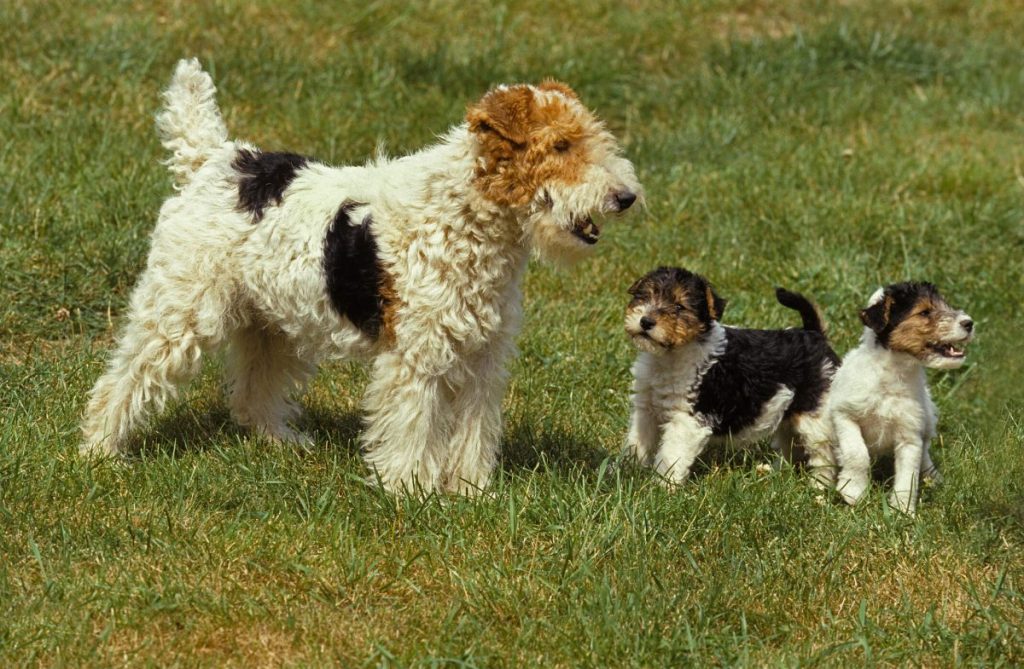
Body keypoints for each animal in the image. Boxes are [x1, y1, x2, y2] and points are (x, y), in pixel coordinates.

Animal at [79, 57, 638, 493]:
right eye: (561, 146)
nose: (626, 197)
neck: (465, 213)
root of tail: (217, 160)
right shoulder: (418, 357)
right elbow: (413, 428)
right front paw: (411, 490)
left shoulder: (483, 356)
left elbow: (473, 433)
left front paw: (470, 492)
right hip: (179, 312)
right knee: (121, 381)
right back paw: (100, 450)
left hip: (270, 324)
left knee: (252, 393)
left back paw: (284, 442)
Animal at [622, 268, 839, 485]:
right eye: (644, 296)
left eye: (679, 306)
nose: (646, 321)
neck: (670, 356)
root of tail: (814, 334)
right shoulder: (645, 410)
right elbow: (637, 442)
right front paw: (628, 470)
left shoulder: (687, 419)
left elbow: (671, 455)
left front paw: (664, 486)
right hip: (788, 416)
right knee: (791, 447)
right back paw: (774, 473)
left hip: (814, 417)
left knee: (823, 455)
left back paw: (818, 485)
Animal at [827, 278, 970, 514]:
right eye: (924, 312)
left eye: (945, 305)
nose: (969, 323)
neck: (892, 374)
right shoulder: (844, 415)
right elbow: (857, 454)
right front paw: (853, 491)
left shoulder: (910, 435)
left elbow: (908, 475)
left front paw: (903, 510)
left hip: (927, 422)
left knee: (925, 457)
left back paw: (934, 478)